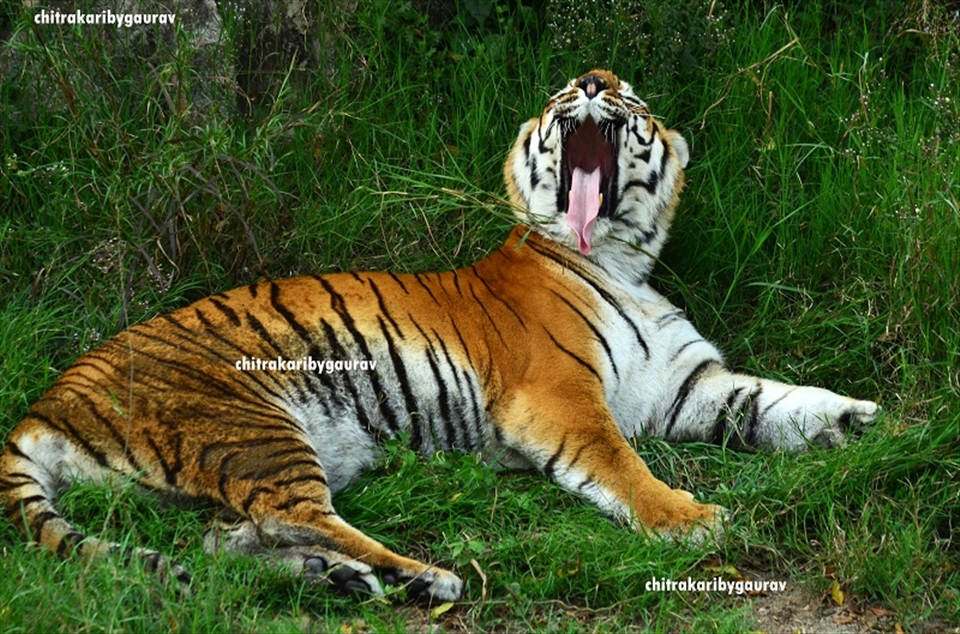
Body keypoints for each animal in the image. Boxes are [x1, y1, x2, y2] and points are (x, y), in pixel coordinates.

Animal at [0, 69, 879, 603]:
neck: (625, 257)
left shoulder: (685, 385)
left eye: (626, 97)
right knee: (298, 514)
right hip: (249, 425)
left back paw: (334, 579)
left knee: (233, 539)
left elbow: (773, 399)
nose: (594, 82)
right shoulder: (560, 395)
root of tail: (41, 406)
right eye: (567, 91)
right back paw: (422, 577)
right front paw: (691, 520)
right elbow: (622, 468)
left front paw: (859, 419)